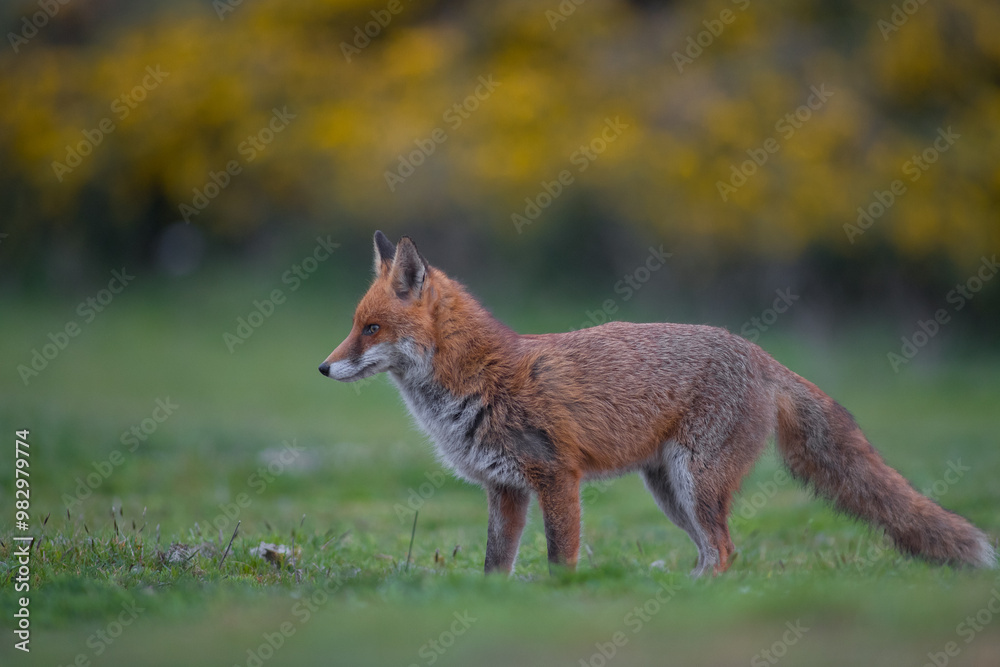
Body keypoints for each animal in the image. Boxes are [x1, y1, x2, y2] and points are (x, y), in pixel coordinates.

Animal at [318, 231, 995, 576]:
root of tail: (760, 354)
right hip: (669, 490)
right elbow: (495, 564)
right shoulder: (504, 488)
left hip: (696, 483)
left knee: (724, 550)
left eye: (371, 329)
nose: (322, 368)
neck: (478, 378)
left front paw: (557, 603)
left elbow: (561, 559)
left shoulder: (556, 477)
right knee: (713, 551)